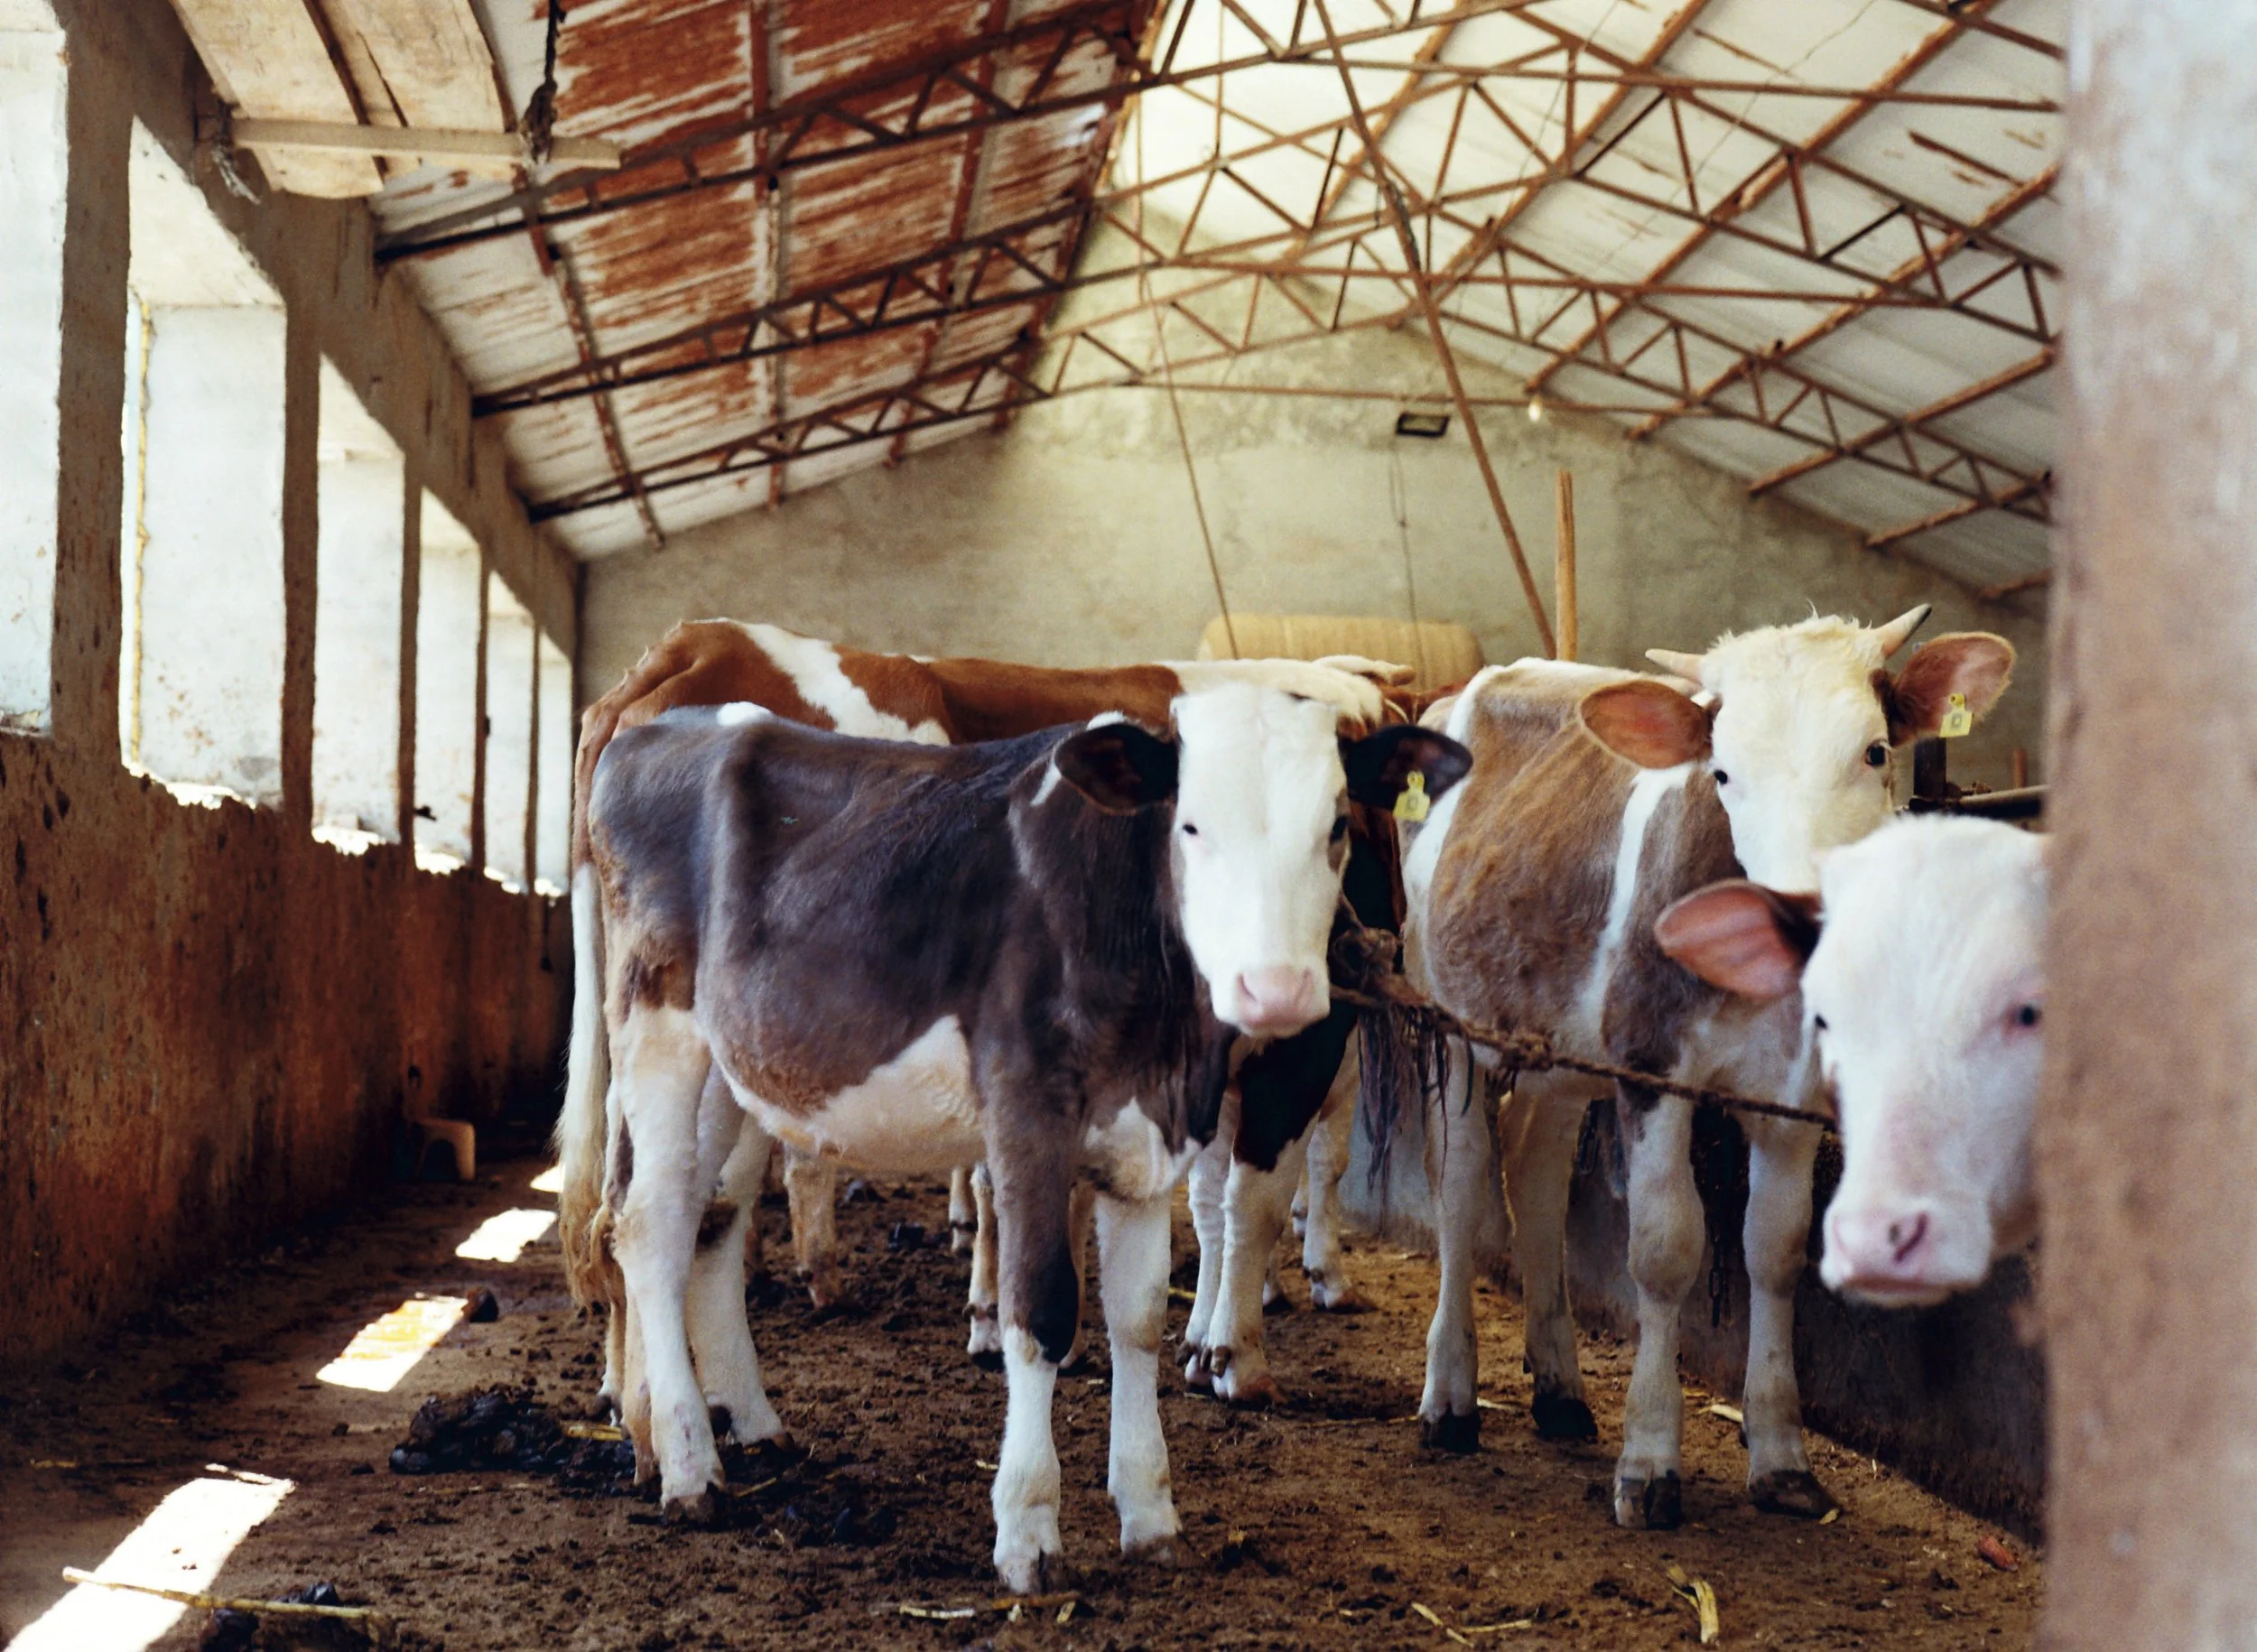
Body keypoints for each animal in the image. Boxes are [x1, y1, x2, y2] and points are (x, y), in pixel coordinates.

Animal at [557, 619, 1410, 1413]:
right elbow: (1259, 1196)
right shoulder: (1303, 1047)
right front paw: (1240, 1355)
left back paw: (632, 1393)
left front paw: (1198, 1337)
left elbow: (1200, 1201)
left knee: (637, 1211)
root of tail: (695, 642)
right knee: (700, 1209)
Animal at [577, 683, 1467, 1588]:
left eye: (1336, 824)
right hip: (658, 1026)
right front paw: (1029, 1530)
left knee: (709, 1221)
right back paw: (689, 1466)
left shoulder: (1145, 1138)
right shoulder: (1028, 1114)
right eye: (1189, 824)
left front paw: (1151, 1515)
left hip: (736, 1069)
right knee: (648, 1225)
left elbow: (1136, 1319)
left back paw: (723, 1427)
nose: (1277, 988)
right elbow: (1040, 1308)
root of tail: (663, 727)